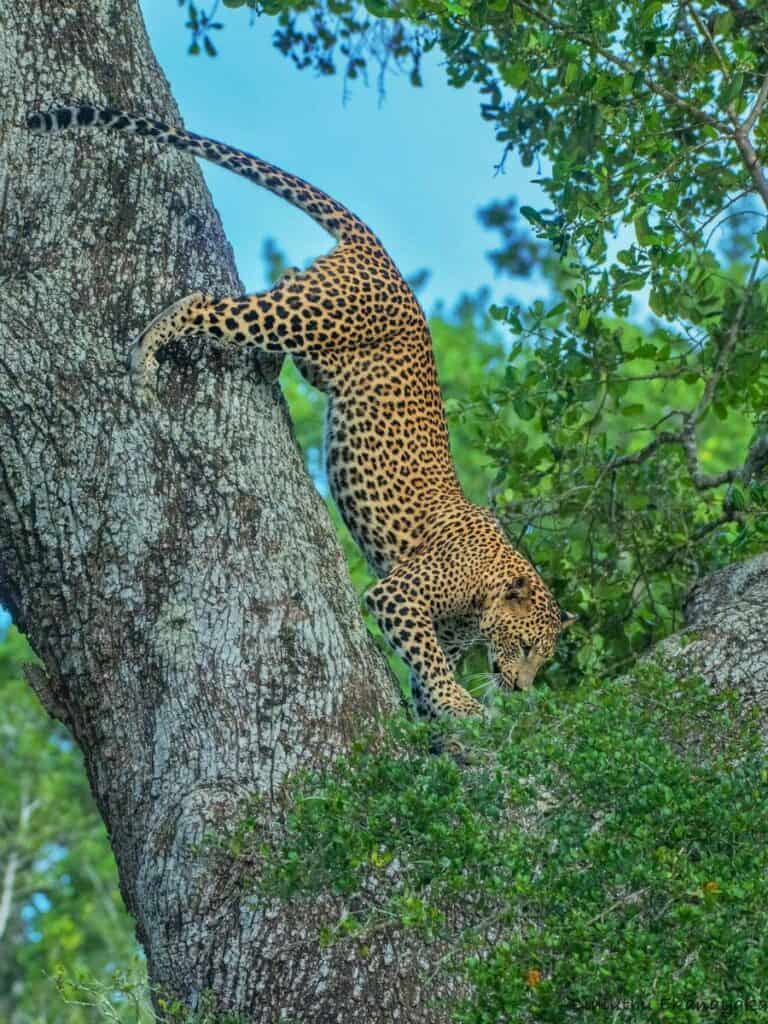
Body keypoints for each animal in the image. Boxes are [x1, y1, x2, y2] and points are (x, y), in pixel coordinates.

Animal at [27, 101, 573, 712]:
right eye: (525, 647)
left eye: (541, 658)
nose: (522, 687)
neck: (486, 591)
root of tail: (386, 262)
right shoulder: (398, 595)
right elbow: (433, 666)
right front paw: (465, 707)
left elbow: (426, 679)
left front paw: (441, 717)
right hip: (309, 315)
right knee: (209, 303)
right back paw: (148, 351)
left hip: (323, 345)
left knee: (283, 295)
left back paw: (259, 361)